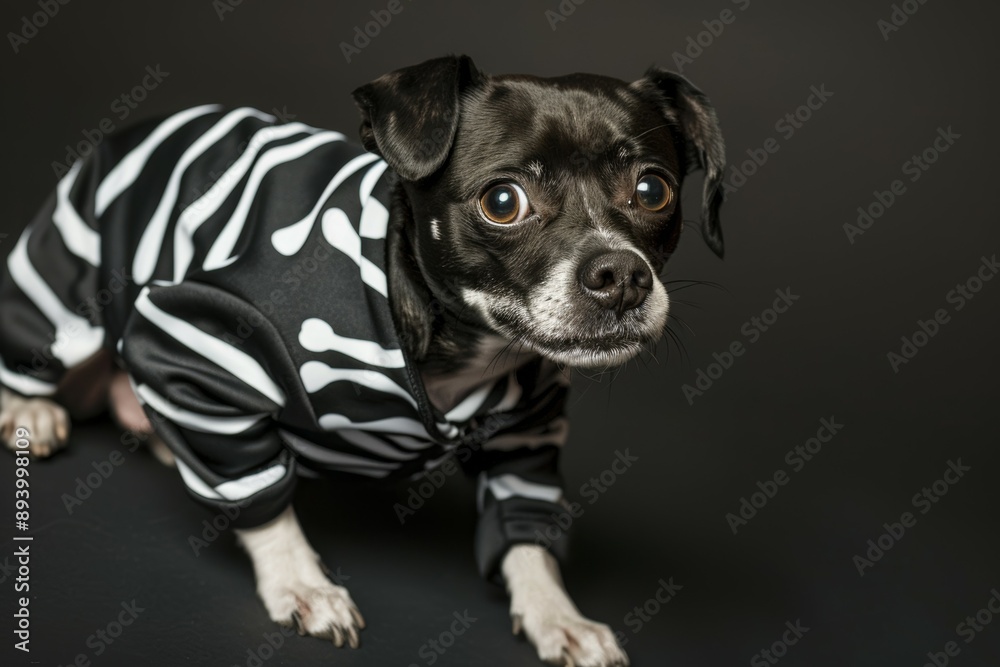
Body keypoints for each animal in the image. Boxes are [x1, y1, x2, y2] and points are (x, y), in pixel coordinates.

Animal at [0, 53, 724, 667]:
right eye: (503, 201)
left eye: (652, 190)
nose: (620, 275)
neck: (457, 352)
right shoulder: (187, 339)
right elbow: (261, 495)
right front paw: (299, 580)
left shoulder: (527, 433)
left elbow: (525, 530)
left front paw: (556, 613)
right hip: (66, 289)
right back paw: (31, 410)